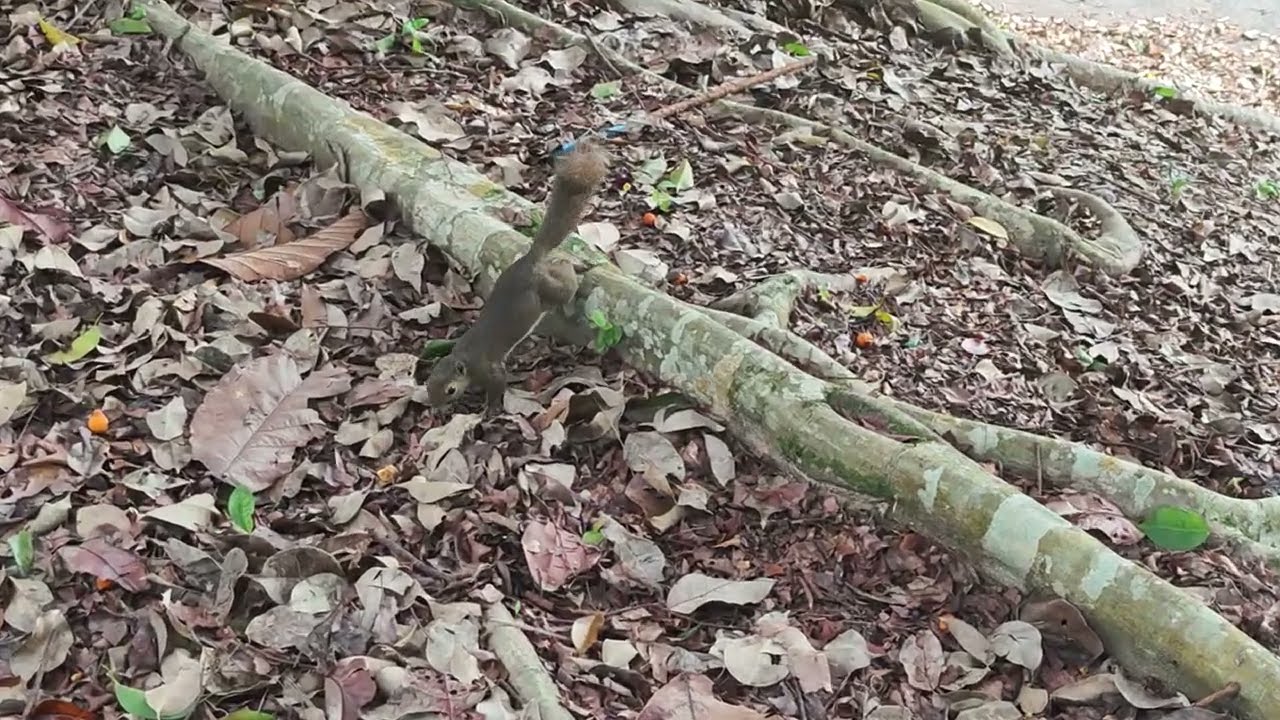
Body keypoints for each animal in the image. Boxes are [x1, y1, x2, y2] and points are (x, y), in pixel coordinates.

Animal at [426, 143, 610, 411]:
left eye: (450, 390)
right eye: (428, 385)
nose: (436, 408)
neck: (464, 359)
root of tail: (529, 261)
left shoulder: (488, 369)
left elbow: (497, 384)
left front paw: (490, 408)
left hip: (548, 289)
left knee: (565, 284)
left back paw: (580, 267)